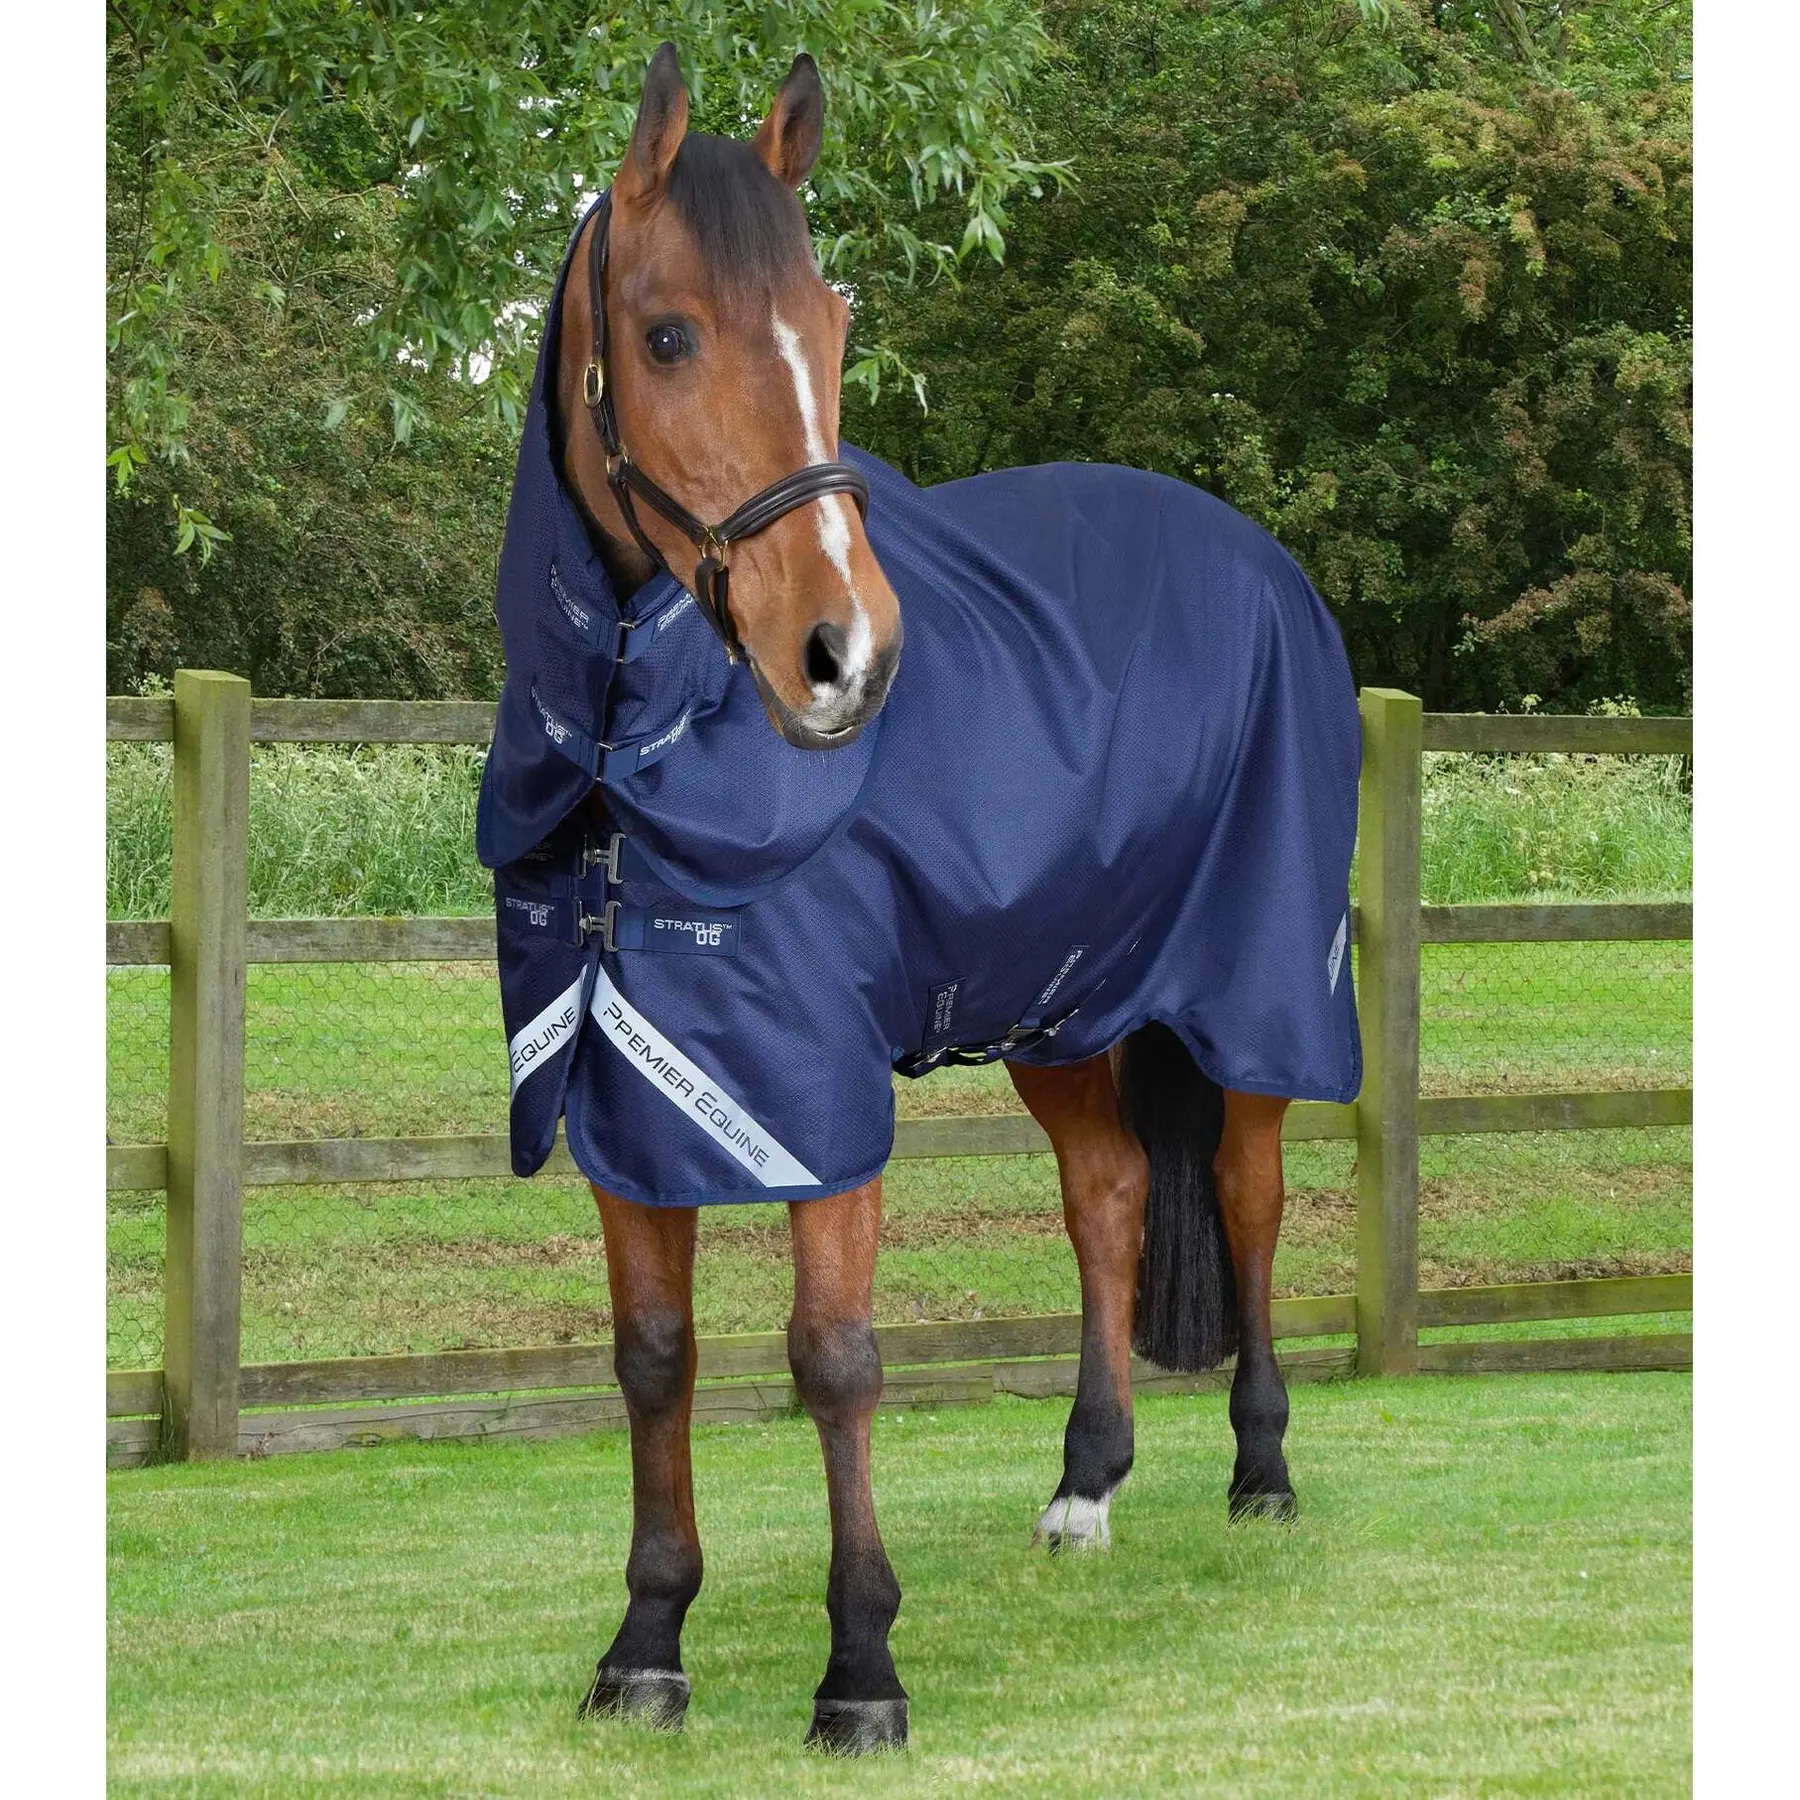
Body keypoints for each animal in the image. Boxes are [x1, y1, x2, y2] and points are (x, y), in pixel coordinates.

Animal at [476, 44, 1362, 1754]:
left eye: (831, 330)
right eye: (668, 333)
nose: (847, 655)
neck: (638, 759)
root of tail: (1263, 564)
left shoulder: (812, 1092)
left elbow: (833, 1360)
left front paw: (861, 1670)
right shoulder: (625, 1082)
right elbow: (653, 1358)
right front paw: (646, 1644)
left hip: (1252, 995)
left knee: (1246, 1194)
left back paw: (1268, 1471)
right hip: (1064, 1009)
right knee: (1109, 1198)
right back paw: (1086, 1487)